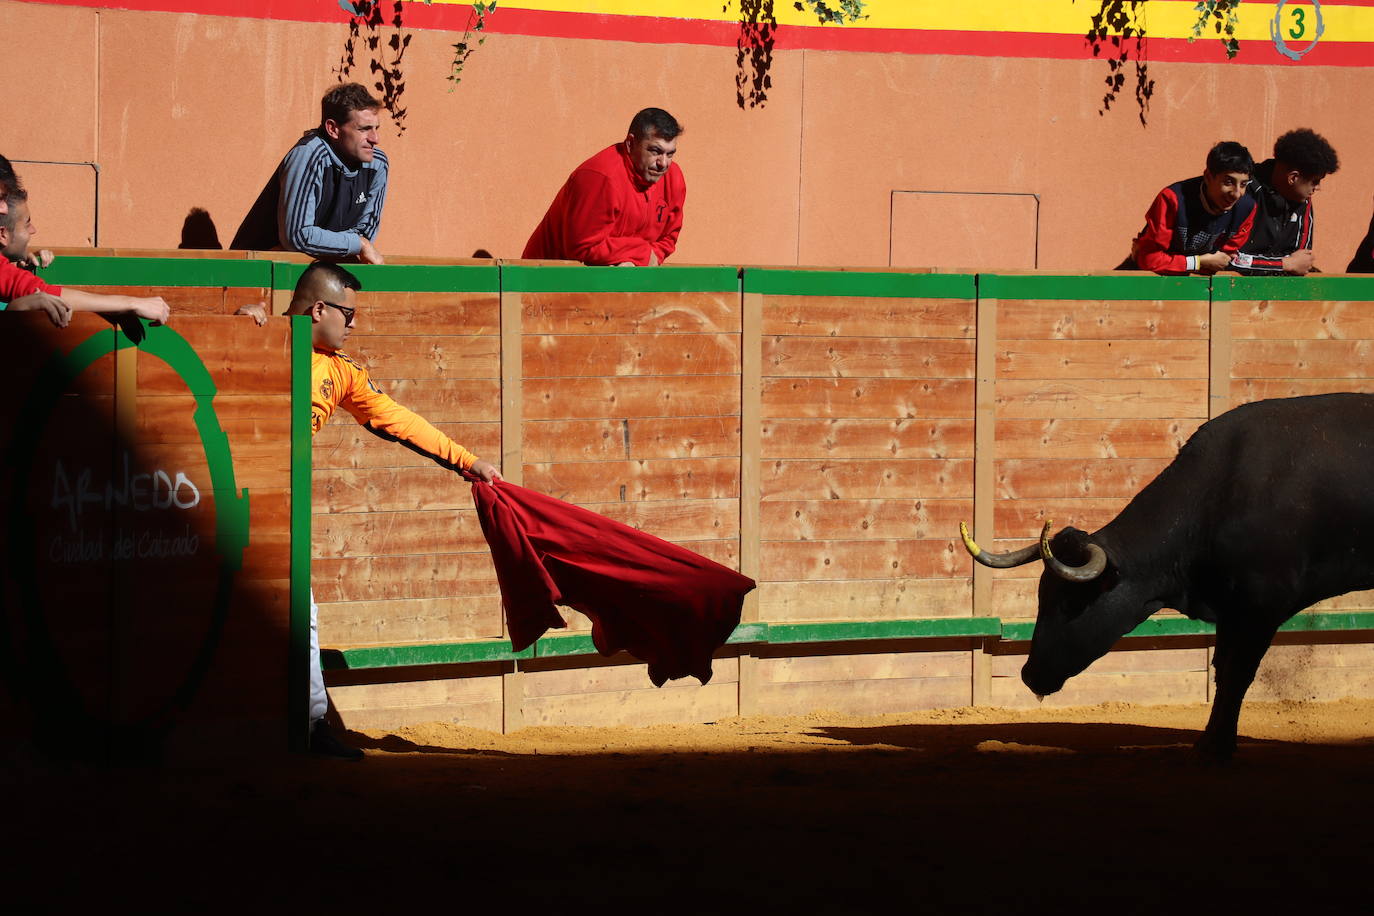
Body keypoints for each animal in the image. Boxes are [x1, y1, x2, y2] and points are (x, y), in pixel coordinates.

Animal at [961, 395, 1374, 758]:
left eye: (1070, 602)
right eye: (1041, 595)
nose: (1030, 675)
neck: (1221, 494)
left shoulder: (1260, 609)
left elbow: (1238, 673)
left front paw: (1218, 746)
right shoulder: (1231, 611)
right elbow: (1222, 671)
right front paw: (1210, 741)